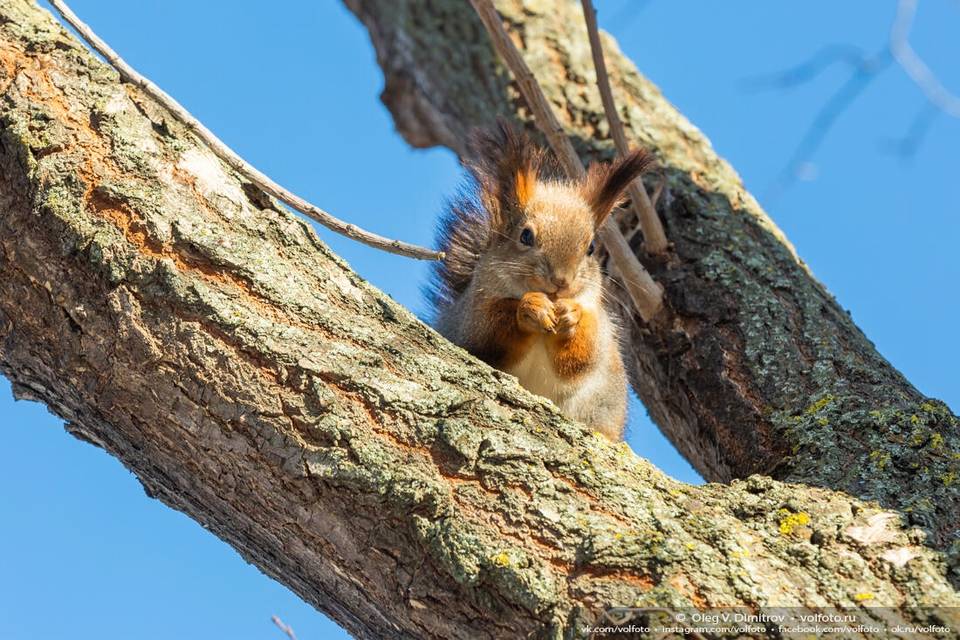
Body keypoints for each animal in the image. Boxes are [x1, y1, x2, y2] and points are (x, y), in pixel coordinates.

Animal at [428, 123, 652, 442]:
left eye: (591, 248)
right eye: (525, 236)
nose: (561, 281)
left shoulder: (599, 326)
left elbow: (581, 360)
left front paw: (571, 316)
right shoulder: (472, 317)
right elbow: (489, 335)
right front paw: (530, 308)